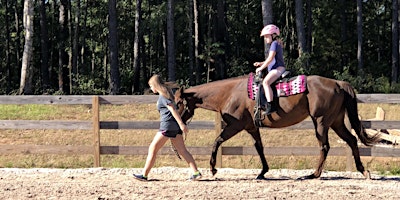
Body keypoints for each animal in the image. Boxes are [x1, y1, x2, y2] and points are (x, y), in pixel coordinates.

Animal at [175, 74, 382, 180]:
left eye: (178, 103)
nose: (178, 122)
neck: (229, 93)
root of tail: (338, 84)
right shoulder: (251, 127)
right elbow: (259, 148)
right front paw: (262, 172)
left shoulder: (235, 125)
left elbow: (217, 141)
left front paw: (213, 169)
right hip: (336, 122)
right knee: (352, 140)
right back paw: (363, 171)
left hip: (321, 122)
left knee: (325, 146)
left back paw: (313, 174)